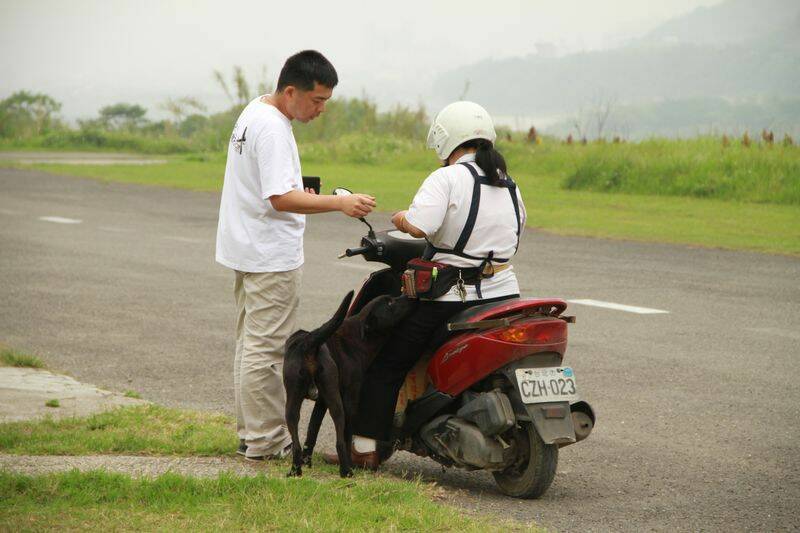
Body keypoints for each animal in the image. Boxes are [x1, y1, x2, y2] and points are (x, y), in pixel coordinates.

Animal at [282, 290, 412, 478]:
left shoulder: (321, 402)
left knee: (296, 441)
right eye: (389, 303)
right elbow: (347, 434)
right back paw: (346, 470)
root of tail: (309, 342)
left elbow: (312, 429)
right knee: (340, 440)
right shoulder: (350, 397)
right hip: (337, 404)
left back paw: (295, 471)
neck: (360, 337)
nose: (410, 296)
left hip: (293, 400)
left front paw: (307, 462)